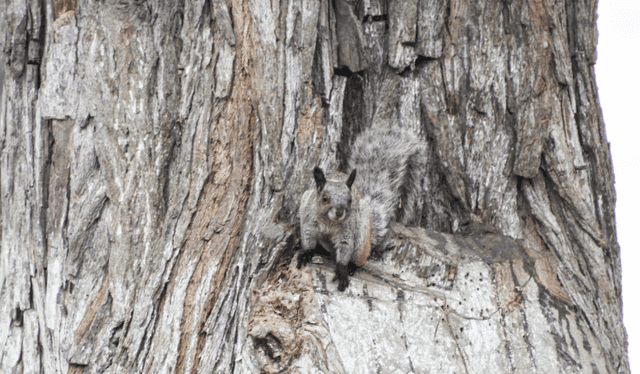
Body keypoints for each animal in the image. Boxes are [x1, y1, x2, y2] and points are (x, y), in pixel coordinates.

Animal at [298, 127, 428, 290]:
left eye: (350, 200)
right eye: (325, 198)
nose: (339, 212)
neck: (330, 222)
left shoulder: (348, 231)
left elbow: (345, 249)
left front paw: (342, 270)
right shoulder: (309, 220)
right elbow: (308, 237)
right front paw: (306, 253)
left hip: (361, 234)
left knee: (359, 257)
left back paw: (352, 266)